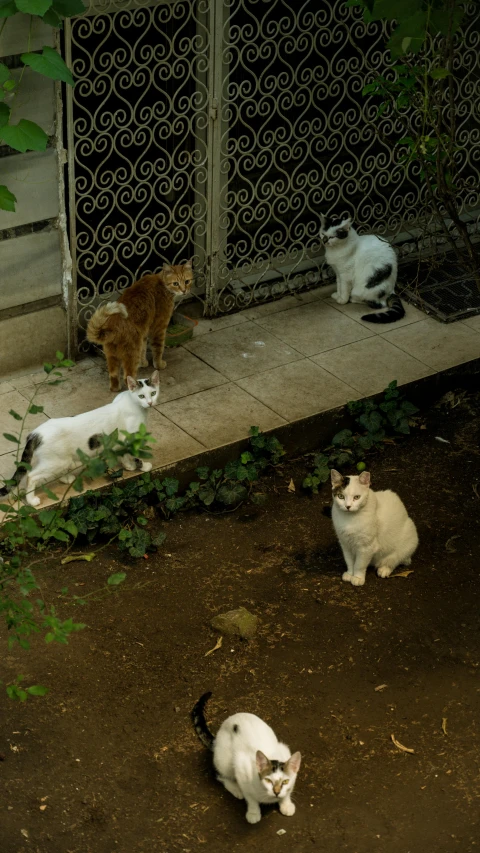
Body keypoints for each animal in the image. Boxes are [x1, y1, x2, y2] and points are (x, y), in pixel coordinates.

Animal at [0, 368, 160, 502]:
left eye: (153, 393)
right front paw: (142, 466)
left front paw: (128, 466)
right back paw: (32, 501)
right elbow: (134, 454)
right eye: (141, 396)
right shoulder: (131, 437)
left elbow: (123, 454)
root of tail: (35, 433)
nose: (150, 403)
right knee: (31, 476)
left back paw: (67, 478)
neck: (133, 404)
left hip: (58, 460)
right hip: (55, 462)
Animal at [86, 262, 193, 392]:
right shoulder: (158, 329)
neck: (162, 283)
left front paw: (143, 363)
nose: (184, 291)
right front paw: (159, 364)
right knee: (127, 376)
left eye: (187, 281)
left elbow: (143, 349)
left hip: (112, 357)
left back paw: (116, 388)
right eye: (176, 283)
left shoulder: (144, 332)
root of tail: (112, 327)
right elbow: (158, 349)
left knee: (114, 377)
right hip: (131, 355)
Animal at [191, 692, 300, 824]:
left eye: (285, 781)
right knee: (219, 774)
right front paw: (253, 812)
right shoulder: (241, 767)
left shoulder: (284, 750)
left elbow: (289, 790)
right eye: (268, 780)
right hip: (224, 760)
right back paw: (235, 788)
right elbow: (249, 796)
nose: (277, 792)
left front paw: (286, 804)